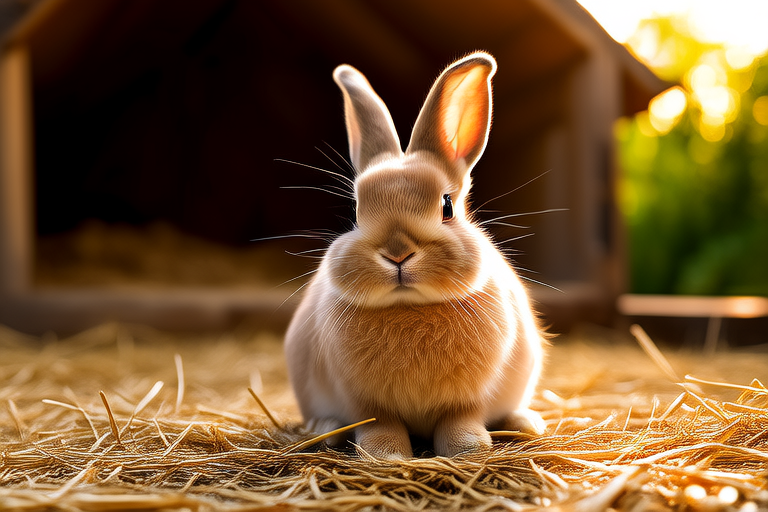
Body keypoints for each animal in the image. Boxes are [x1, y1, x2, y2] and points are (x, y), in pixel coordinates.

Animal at [284, 51, 545, 459]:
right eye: (355, 211)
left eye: (447, 206)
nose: (398, 253)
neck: (409, 306)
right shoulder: (367, 404)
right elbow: (382, 425)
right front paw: (387, 456)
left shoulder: (466, 401)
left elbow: (459, 420)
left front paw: (467, 450)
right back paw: (326, 431)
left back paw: (526, 423)